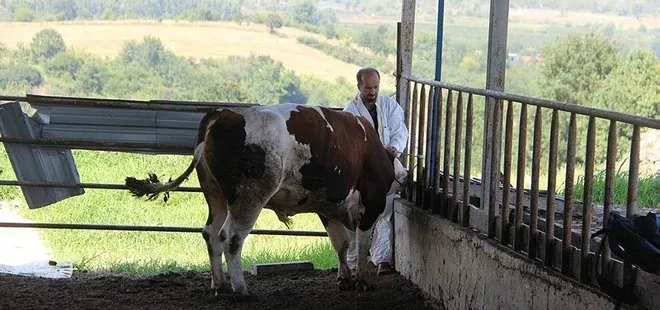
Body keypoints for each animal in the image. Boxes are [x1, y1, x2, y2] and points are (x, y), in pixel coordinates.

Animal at [124, 103, 408, 296]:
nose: (405, 175)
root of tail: (225, 113)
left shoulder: (327, 208)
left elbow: (341, 244)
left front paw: (345, 278)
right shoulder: (371, 204)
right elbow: (361, 243)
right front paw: (362, 280)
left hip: (215, 196)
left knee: (211, 233)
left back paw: (220, 284)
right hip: (249, 198)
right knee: (231, 237)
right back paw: (240, 289)